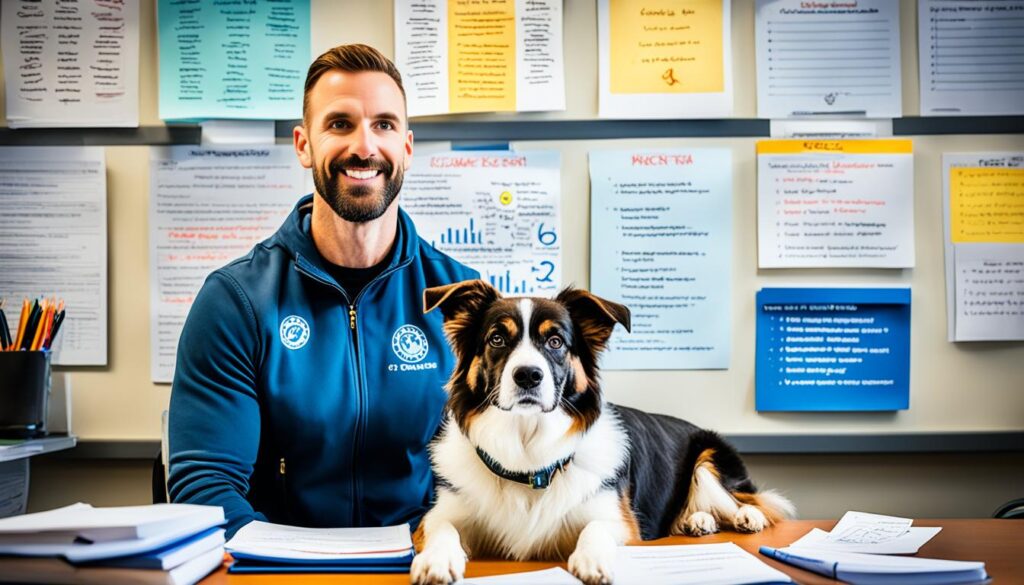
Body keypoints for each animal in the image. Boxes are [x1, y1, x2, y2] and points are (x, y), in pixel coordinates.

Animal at [411, 280, 794, 581]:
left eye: (555, 342)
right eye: (496, 339)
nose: (528, 375)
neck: (527, 447)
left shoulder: (619, 520)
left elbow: (596, 528)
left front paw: (591, 559)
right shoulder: (438, 516)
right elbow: (441, 529)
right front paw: (436, 560)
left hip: (709, 455)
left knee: (745, 498)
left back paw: (745, 516)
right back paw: (697, 520)